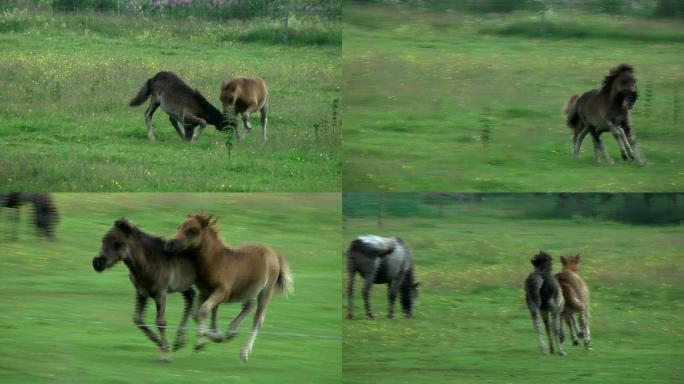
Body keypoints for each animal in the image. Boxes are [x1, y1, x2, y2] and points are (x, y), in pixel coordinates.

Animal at [92, 219, 220, 360]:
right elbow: (138, 319)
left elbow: (160, 322)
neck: (148, 263)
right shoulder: (141, 293)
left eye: (118, 244)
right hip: (183, 285)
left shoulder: (160, 293)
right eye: (103, 240)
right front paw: (164, 345)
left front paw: (165, 354)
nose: (97, 263)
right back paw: (180, 342)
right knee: (191, 297)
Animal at [167, 214, 296, 362]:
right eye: (179, 227)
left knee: (258, 320)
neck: (216, 261)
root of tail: (274, 254)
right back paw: (232, 331)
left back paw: (243, 352)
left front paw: (209, 338)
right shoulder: (204, 293)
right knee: (249, 306)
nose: (170, 243)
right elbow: (197, 314)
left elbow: (203, 311)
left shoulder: (222, 292)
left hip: (265, 291)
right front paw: (206, 338)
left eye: (193, 230)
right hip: (249, 289)